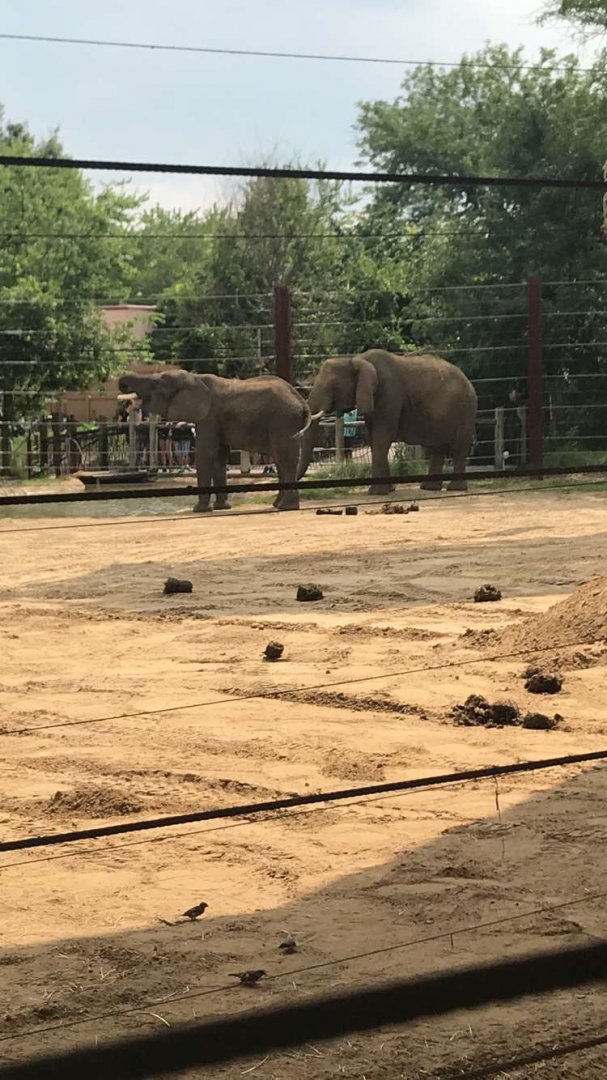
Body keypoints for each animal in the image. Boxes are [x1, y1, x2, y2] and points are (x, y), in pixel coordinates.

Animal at [117, 369, 321, 512]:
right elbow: (219, 457)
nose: (123, 383)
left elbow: (205, 455)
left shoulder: (209, 417)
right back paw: (278, 505)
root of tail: (302, 402)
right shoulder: (216, 420)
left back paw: (286, 507)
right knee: (282, 460)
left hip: (282, 421)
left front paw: (199, 510)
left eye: (156, 383)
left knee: (284, 460)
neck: (195, 377)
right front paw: (221, 508)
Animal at [297, 348, 478, 493]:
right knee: (437, 447)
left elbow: (382, 437)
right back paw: (429, 488)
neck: (356, 359)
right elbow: (374, 438)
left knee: (459, 446)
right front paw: (388, 490)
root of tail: (469, 382)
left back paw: (455, 488)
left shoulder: (389, 393)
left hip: (465, 410)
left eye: (334, 388)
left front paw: (376, 492)